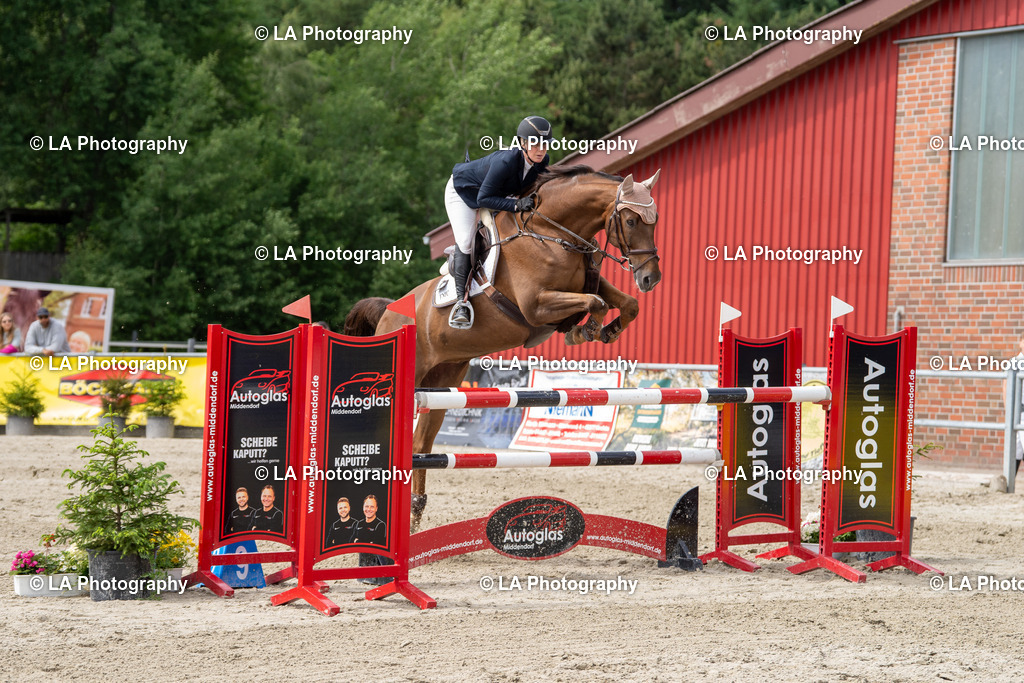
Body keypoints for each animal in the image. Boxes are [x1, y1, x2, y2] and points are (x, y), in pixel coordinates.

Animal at [345, 165, 663, 526]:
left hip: (441, 382)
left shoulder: (588, 283)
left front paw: (607, 331)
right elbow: (595, 303)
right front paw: (584, 331)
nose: (651, 278)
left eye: (653, 221)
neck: (551, 235)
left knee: (419, 444)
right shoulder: (536, 305)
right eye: (631, 221)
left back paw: (414, 513)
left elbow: (625, 304)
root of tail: (388, 312)